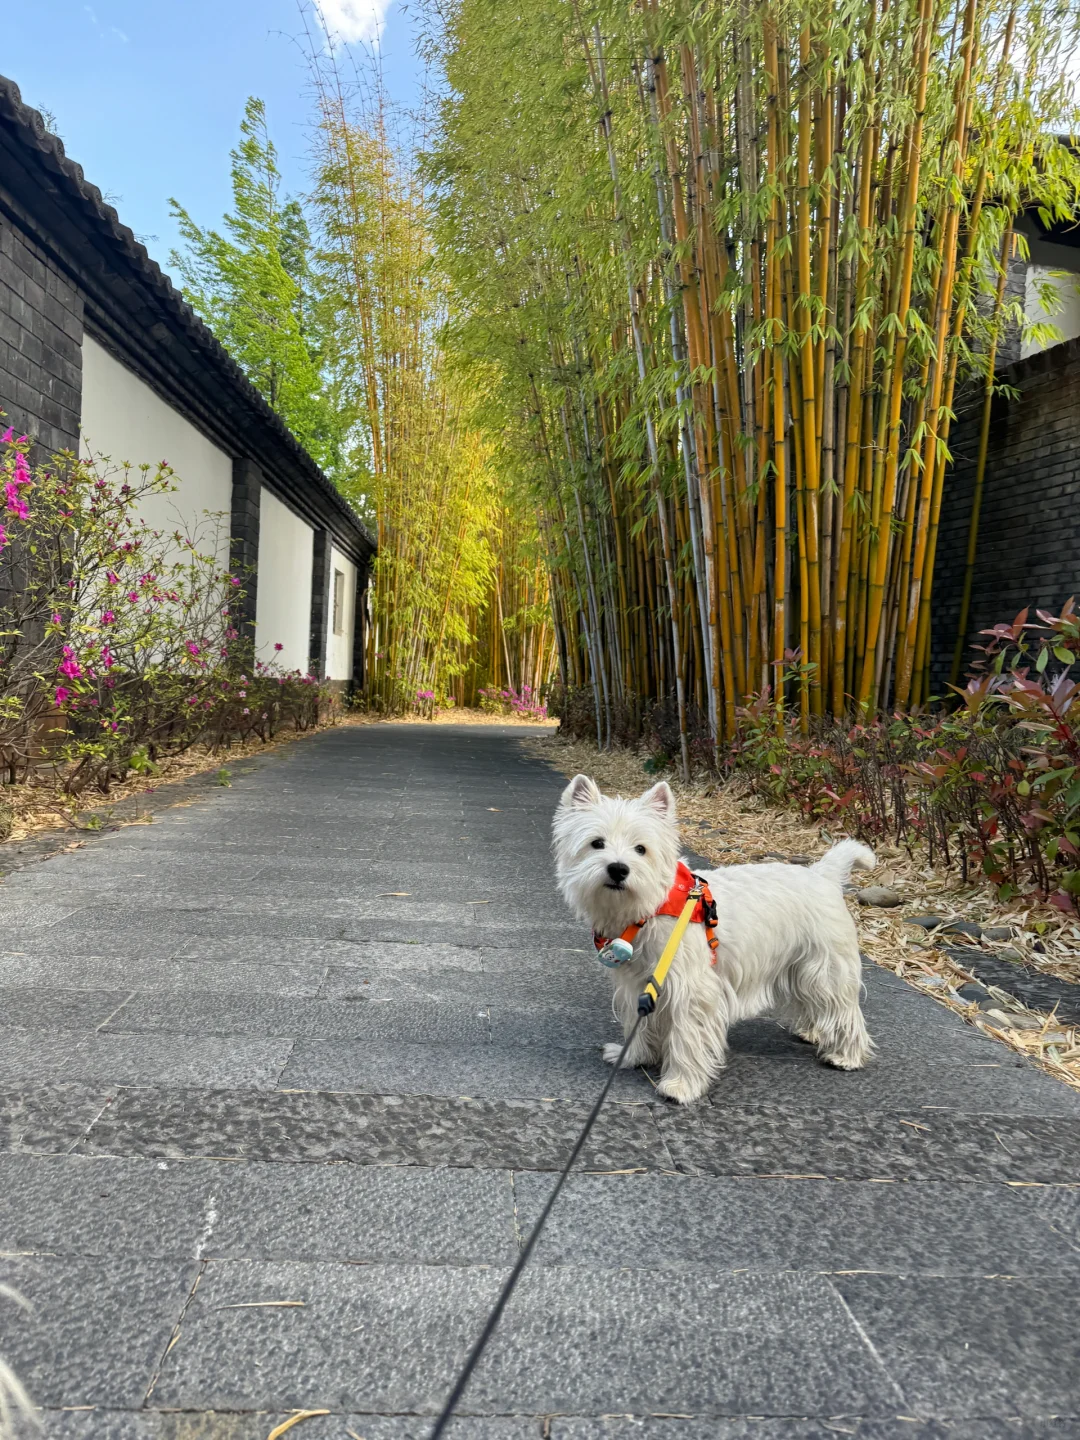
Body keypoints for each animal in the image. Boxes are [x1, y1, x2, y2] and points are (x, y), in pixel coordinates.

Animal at [552, 777, 875, 1100]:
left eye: (641, 849)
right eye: (596, 843)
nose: (618, 869)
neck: (650, 908)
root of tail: (823, 875)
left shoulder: (691, 988)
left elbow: (687, 1036)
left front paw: (680, 1085)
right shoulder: (637, 983)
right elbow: (638, 1022)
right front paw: (633, 1057)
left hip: (826, 967)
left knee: (843, 1008)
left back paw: (845, 1056)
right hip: (800, 966)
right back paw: (812, 1032)